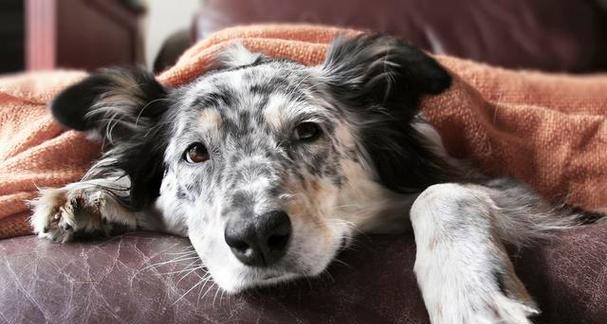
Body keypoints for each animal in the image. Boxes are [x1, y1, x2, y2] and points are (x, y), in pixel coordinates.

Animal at [27, 34, 600, 322]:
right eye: (195, 153)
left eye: (307, 131)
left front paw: (470, 293)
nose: (257, 237)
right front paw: (88, 195)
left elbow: (443, 192)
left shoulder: (509, 190)